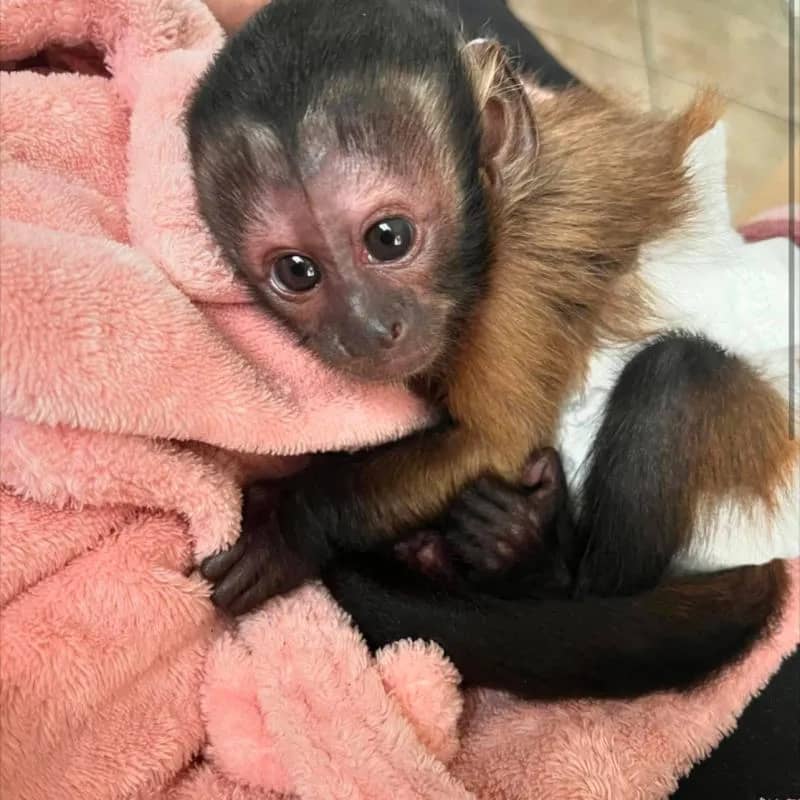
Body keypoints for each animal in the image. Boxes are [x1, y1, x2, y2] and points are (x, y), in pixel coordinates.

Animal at [188, 0, 797, 697]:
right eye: (297, 271)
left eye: (389, 237)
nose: (367, 327)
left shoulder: (518, 281)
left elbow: (496, 442)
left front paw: (294, 523)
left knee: (677, 376)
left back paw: (533, 561)